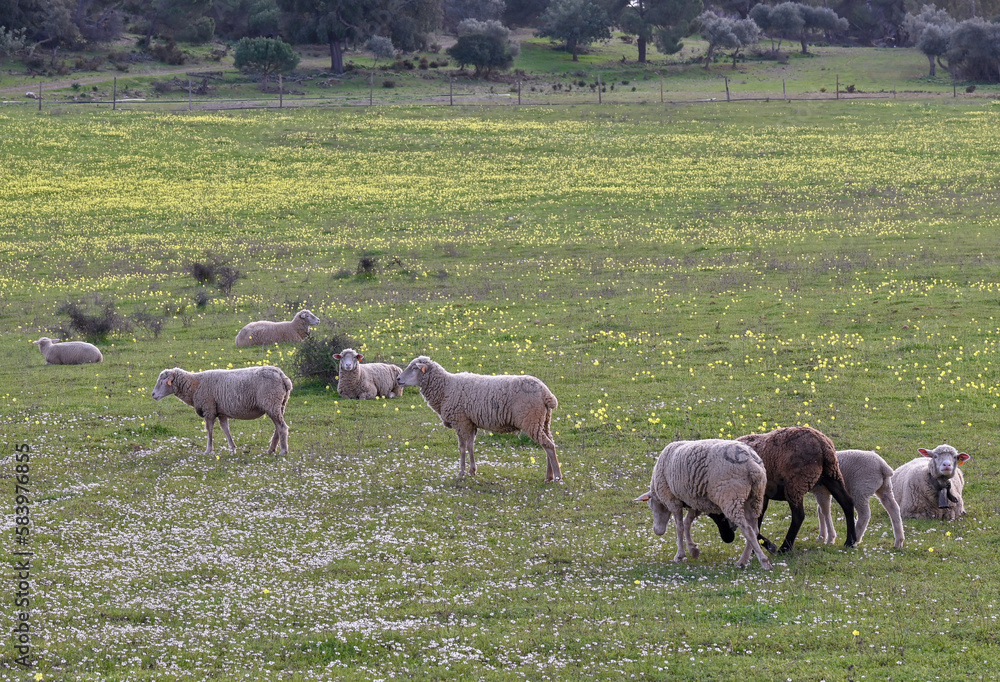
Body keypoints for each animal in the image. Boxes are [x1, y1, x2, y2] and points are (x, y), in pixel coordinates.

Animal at [152, 365, 292, 456]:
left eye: (162, 381)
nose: (153, 395)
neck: (195, 385)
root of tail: (281, 375)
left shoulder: (209, 409)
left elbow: (209, 431)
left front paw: (208, 450)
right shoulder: (221, 412)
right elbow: (225, 429)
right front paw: (233, 448)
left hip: (271, 402)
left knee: (282, 427)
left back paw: (283, 451)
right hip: (280, 404)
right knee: (278, 427)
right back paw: (271, 450)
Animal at [397, 355, 561, 481]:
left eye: (414, 368)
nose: (398, 379)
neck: (445, 388)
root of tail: (546, 393)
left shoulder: (461, 421)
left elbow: (462, 448)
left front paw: (461, 472)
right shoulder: (471, 423)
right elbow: (470, 446)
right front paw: (472, 471)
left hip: (531, 420)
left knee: (548, 445)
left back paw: (557, 477)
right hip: (543, 420)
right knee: (549, 443)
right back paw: (549, 476)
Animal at [635, 439, 772, 570]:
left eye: (651, 506)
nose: (657, 531)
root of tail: (752, 463)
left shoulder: (672, 500)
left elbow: (679, 527)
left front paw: (680, 555)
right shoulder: (696, 501)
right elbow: (687, 523)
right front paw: (693, 550)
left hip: (731, 497)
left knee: (747, 530)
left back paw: (763, 562)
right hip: (754, 498)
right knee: (754, 529)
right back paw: (743, 560)